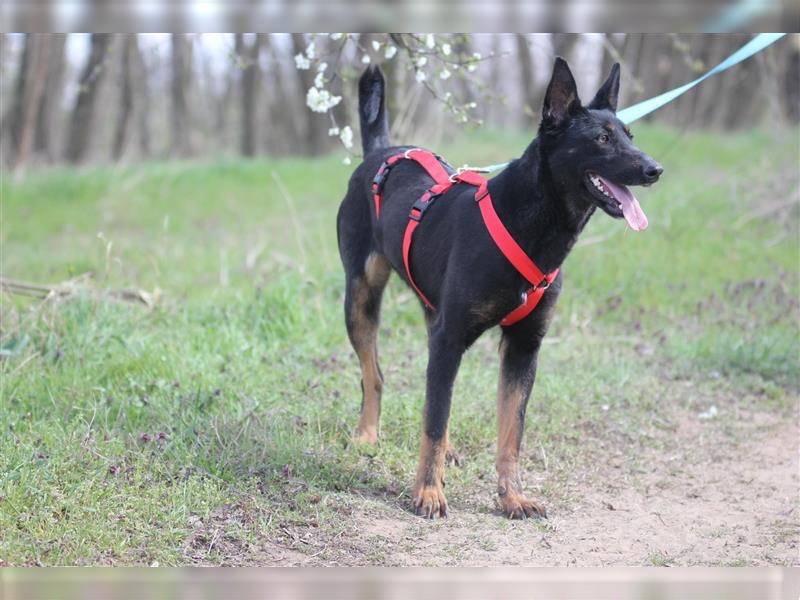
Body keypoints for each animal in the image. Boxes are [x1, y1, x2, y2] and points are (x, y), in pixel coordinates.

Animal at [336, 58, 664, 516]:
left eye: (629, 136)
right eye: (602, 139)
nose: (655, 169)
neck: (533, 223)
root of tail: (381, 151)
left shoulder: (522, 348)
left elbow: (511, 432)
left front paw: (512, 496)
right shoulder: (452, 337)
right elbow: (433, 421)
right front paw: (428, 492)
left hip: (432, 314)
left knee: (436, 393)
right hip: (361, 298)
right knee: (377, 375)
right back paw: (368, 435)